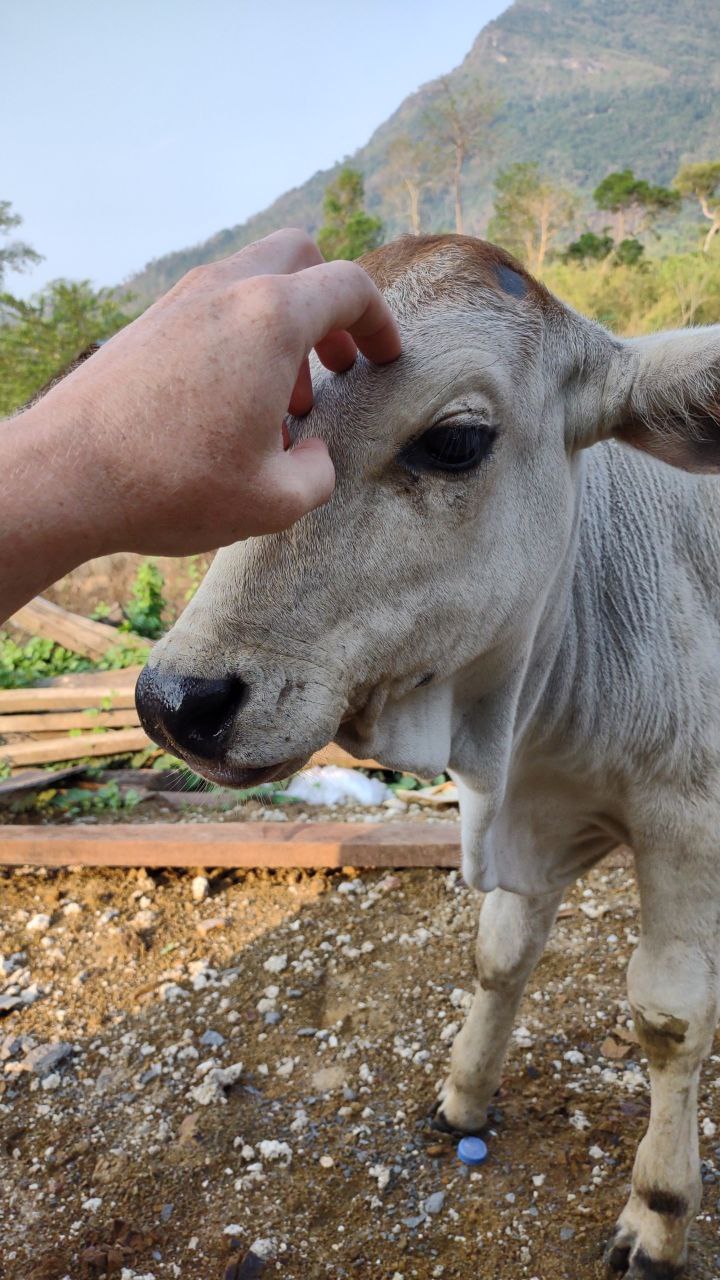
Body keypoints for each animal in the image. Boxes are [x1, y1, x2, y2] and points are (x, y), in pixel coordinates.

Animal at [135, 234, 720, 1277]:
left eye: (454, 442)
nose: (177, 702)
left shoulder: (686, 818)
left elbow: (669, 1016)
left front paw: (658, 1211)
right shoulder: (534, 806)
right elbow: (498, 955)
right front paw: (464, 1097)